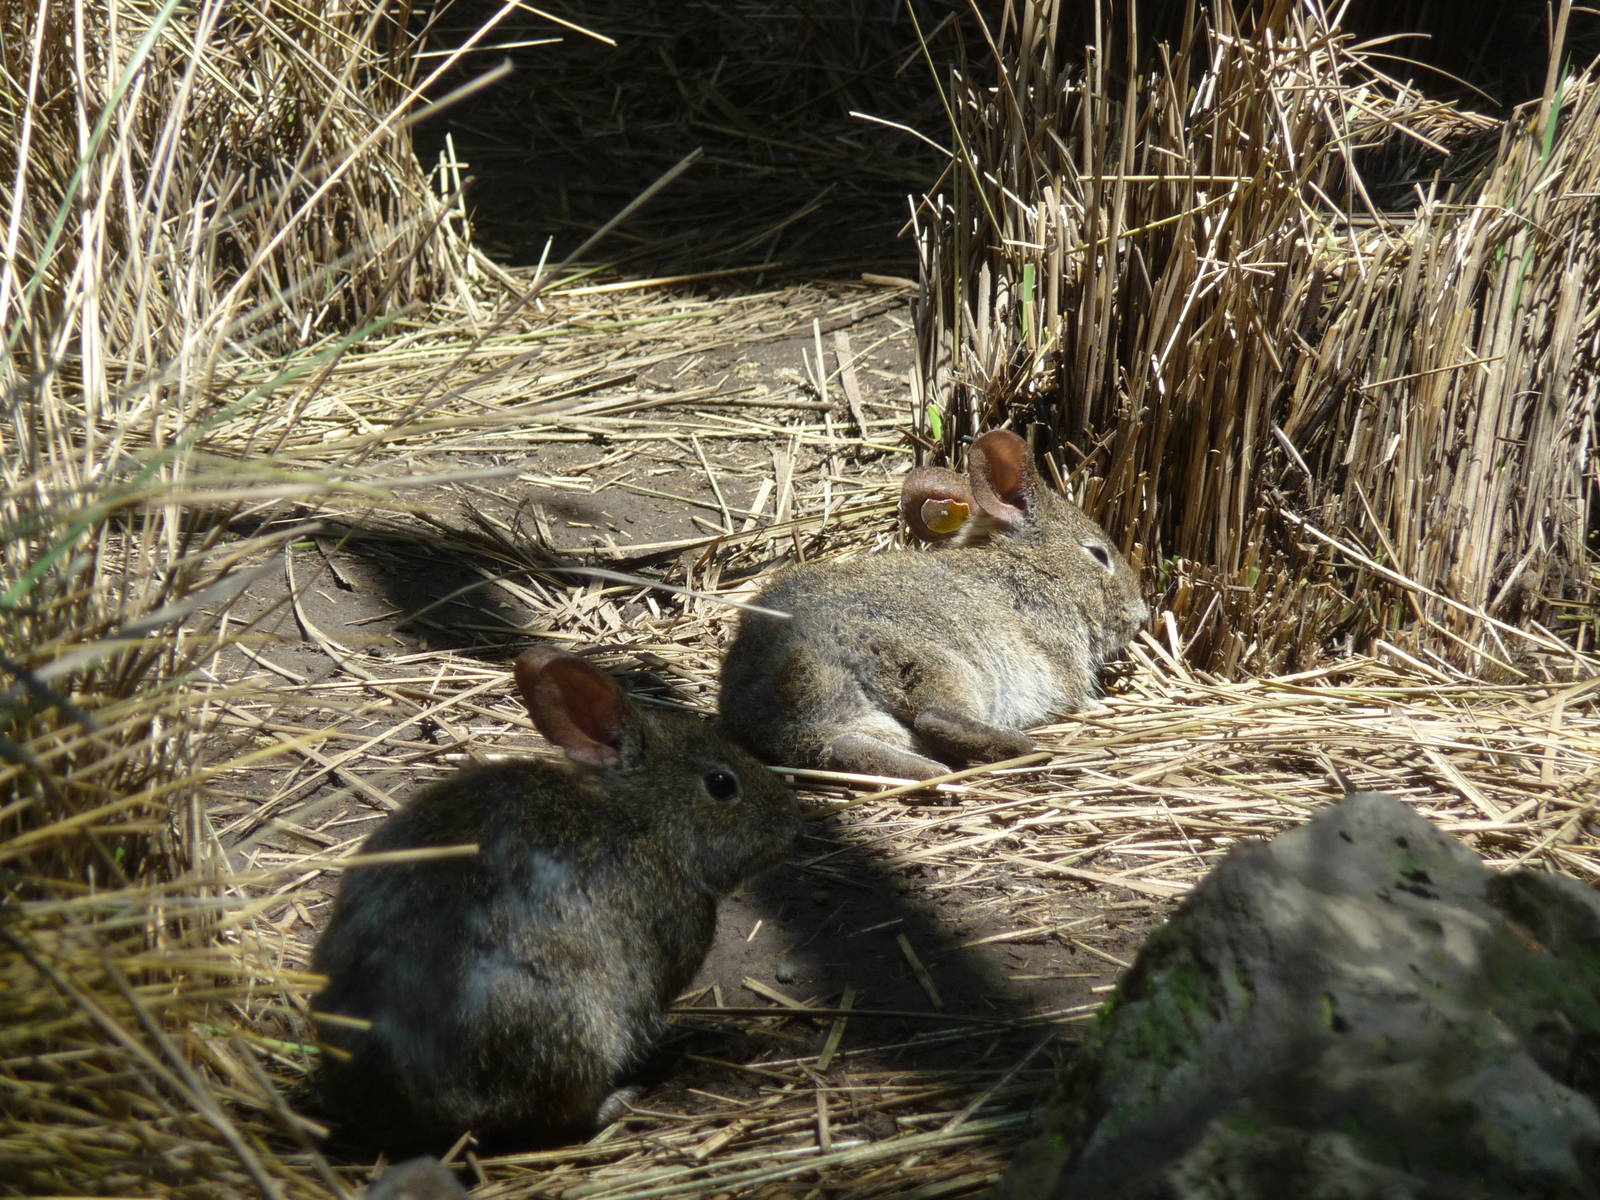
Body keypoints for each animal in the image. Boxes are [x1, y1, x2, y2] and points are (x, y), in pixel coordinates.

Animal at [719, 429, 1148, 781]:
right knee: (934, 718)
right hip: (939, 664)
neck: (1030, 566)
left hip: (860, 718)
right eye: (1098, 554)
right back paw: (1021, 748)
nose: (1140, 616)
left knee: (843, 746)